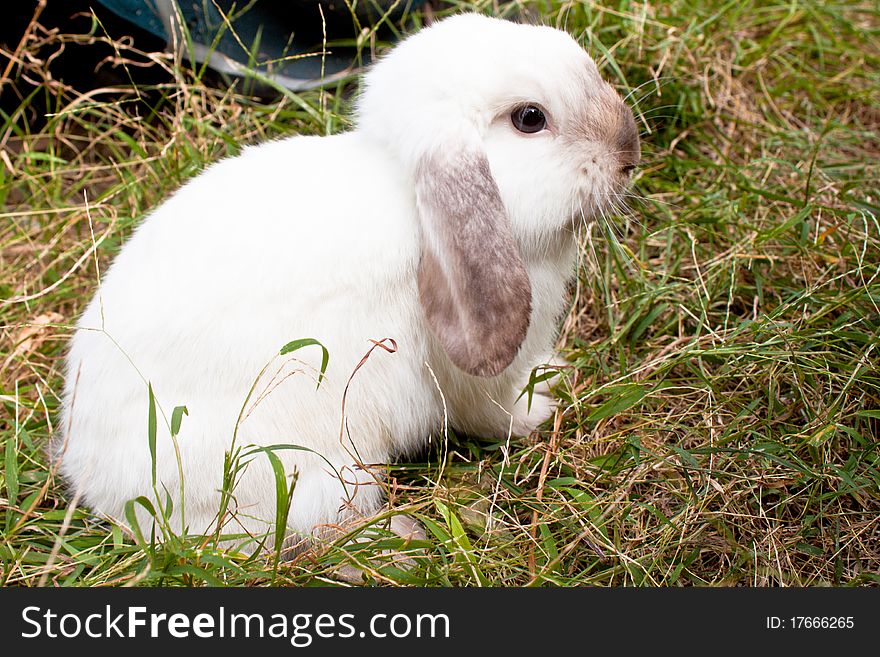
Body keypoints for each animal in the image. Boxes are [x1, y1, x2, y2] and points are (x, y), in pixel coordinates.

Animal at [53, 12, 640, 544]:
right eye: (530, 118)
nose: (629, 150)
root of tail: (106, 491)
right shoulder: (473, 379)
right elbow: (495, 412)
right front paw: (539, 412)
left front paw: (553, 374)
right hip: (313, 473)